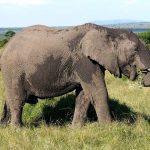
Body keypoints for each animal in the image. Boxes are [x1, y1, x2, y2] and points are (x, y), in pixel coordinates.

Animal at [0, 23, 150, 126]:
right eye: (135, 49)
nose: (143, 78)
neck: (108, 30)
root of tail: (6, 46)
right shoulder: (84, 61)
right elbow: (98, 92)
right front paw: (109, 128)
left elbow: (84, 95)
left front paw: (75, 129)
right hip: (13, 71)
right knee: (17, 100)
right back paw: (17, 129)